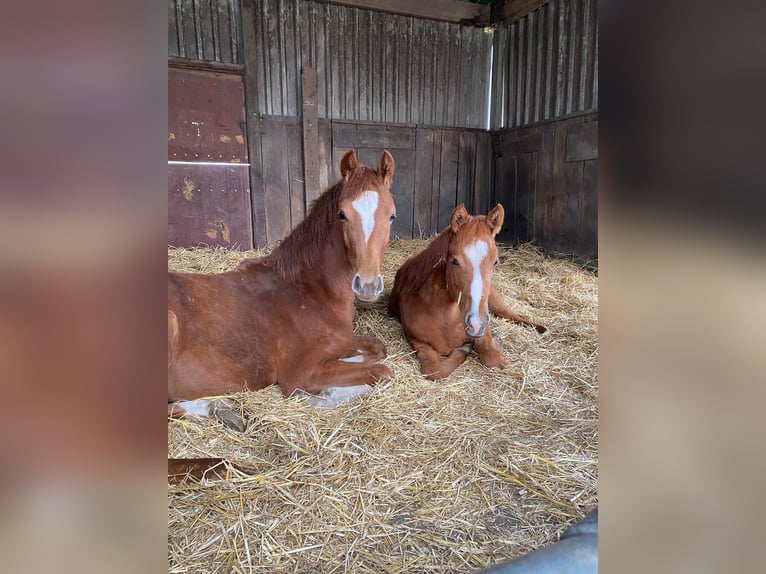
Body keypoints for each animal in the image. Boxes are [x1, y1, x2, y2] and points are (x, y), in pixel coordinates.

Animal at [168, 150, 397, 420]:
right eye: (342, 214)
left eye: (391, 215)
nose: (368, 285)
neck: (311, 288)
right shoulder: (300, 374)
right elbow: (382, 372)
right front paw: (323, 396)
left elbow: (375, 349)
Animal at [388, 203, 546, 381]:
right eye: (454, 261)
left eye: (495, 262)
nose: (476, 324)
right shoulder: (417, 341)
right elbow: (435, 370)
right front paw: (465, 349)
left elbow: (494, 360)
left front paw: (491, 341)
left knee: (510, 314)